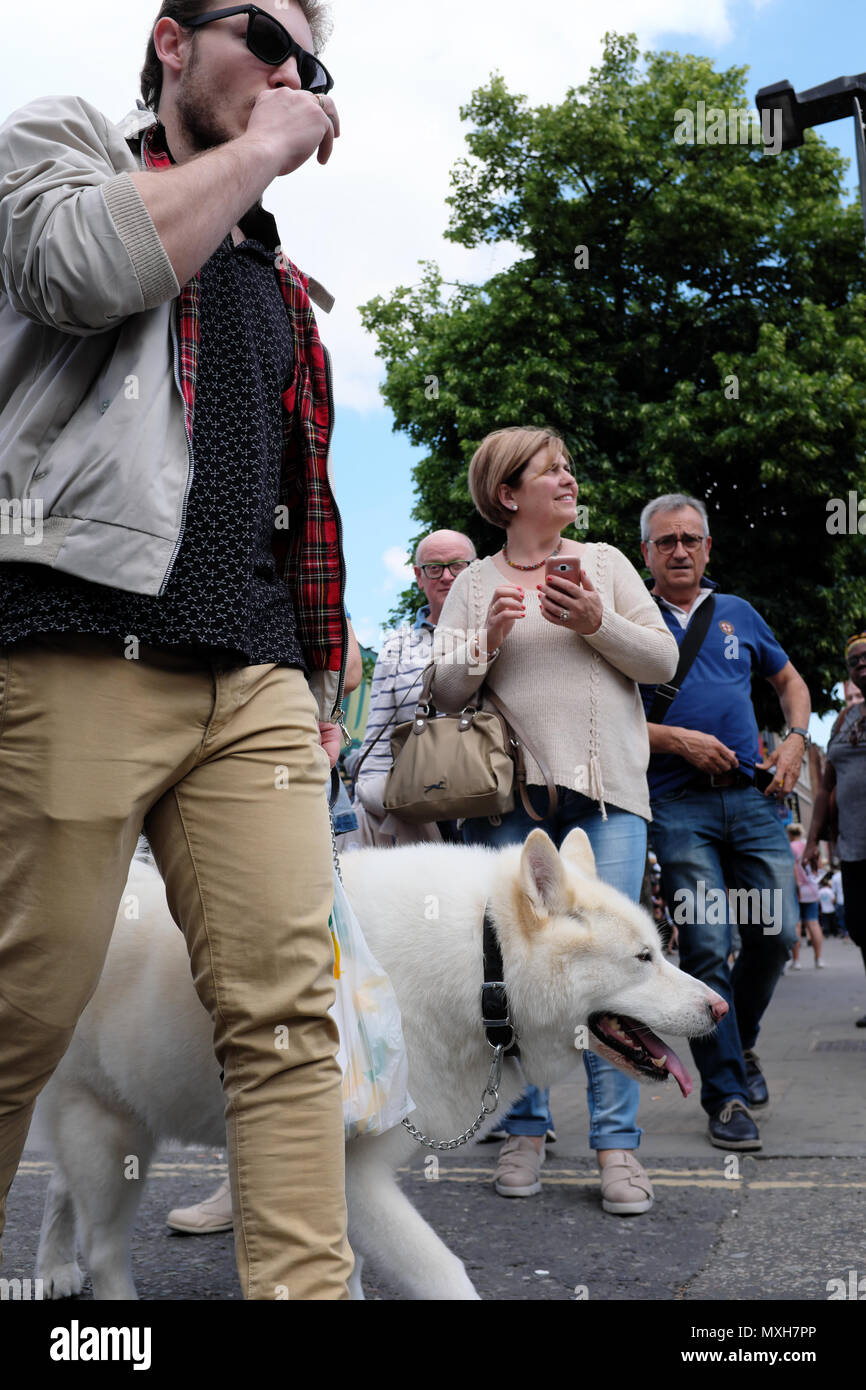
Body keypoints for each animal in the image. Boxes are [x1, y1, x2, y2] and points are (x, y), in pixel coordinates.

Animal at [33, 834, 722, 1301]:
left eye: (662, 951)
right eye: (643, 959)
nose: (719, 1007)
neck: (485, 968)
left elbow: (353, 1267)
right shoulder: (351, 1174)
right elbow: (443, 1272)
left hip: (102, 1125)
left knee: (60, 1188)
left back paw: (53, 1269)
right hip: (112, 1137)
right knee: (103, 1247)